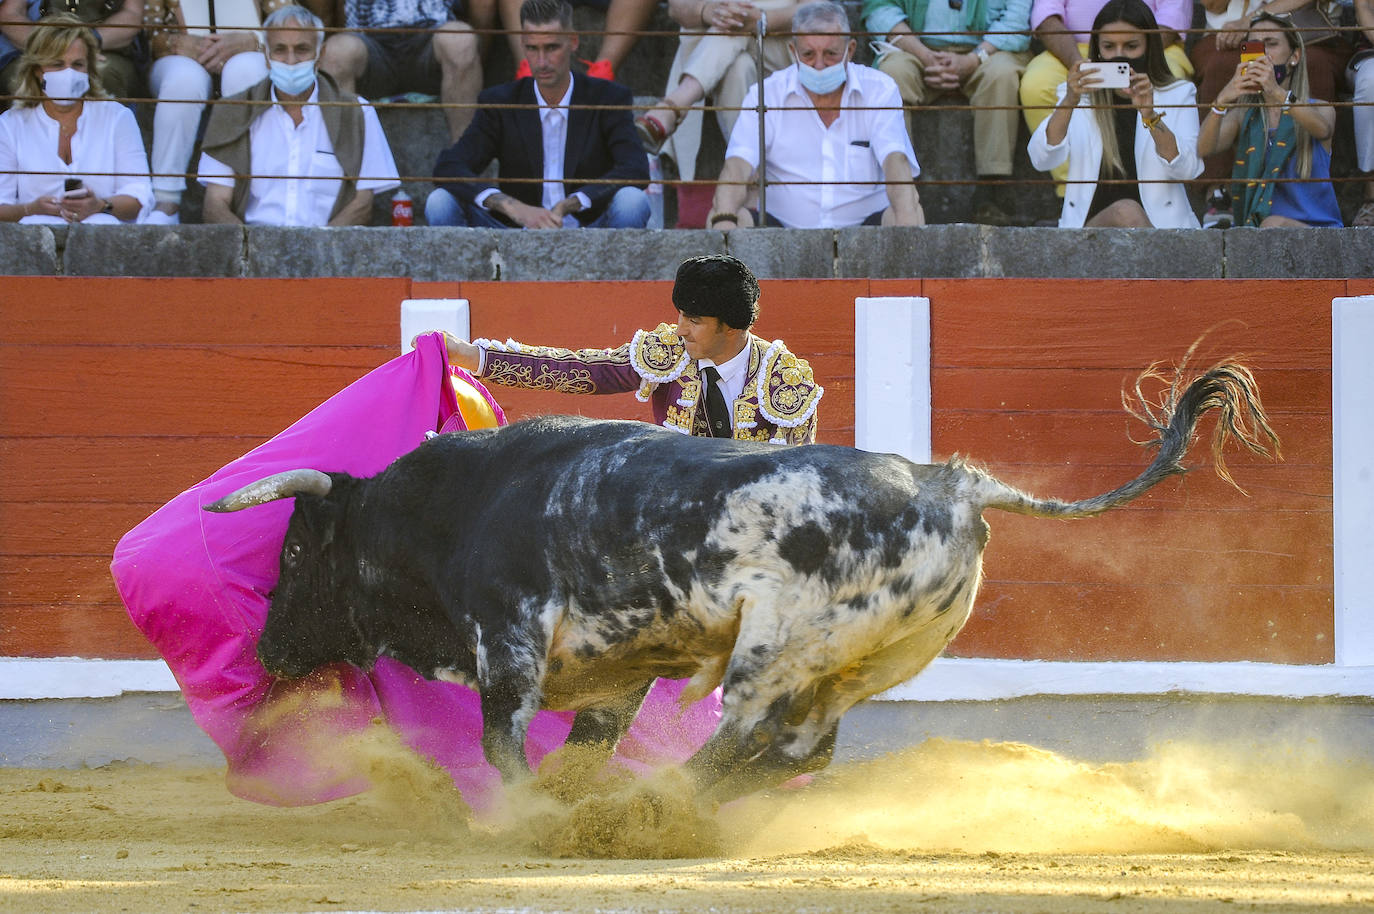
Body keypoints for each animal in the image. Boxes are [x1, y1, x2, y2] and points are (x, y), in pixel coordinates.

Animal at [200, 357, 1275, 797]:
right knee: (801, 748)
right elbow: (583, 747)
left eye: (291, 554)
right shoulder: (618, 669)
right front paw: (573, 803)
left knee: (750, 733)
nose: (268, 649)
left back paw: (658, 806)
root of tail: (954, 482)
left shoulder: (508, 639)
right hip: (869, 659)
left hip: (777, 646)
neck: (449, 510)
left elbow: (505, 746)